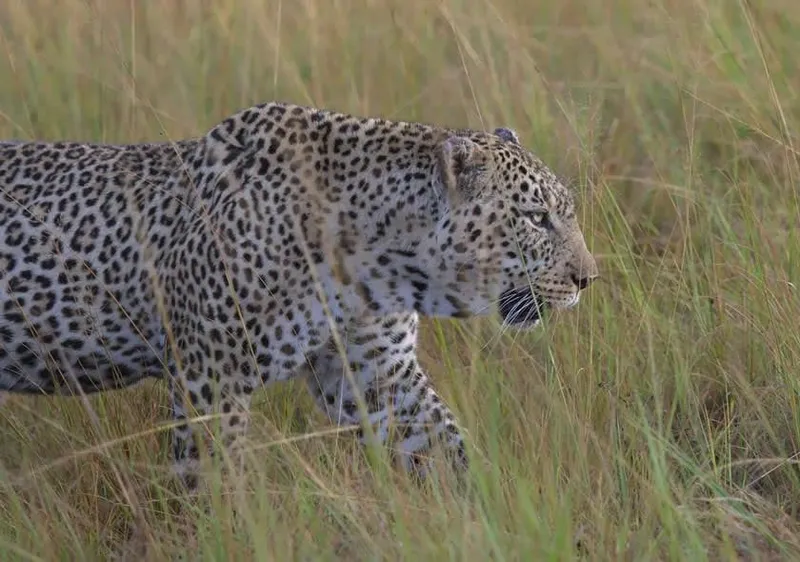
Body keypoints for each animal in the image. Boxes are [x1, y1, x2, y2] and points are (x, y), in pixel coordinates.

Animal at [0, 101, 598, 490]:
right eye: (536, 218)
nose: (588, 279)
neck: (379, 256)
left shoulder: (378, 371)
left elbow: (446, 448)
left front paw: (494, 517)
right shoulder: (210, 379)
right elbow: (215, 485)